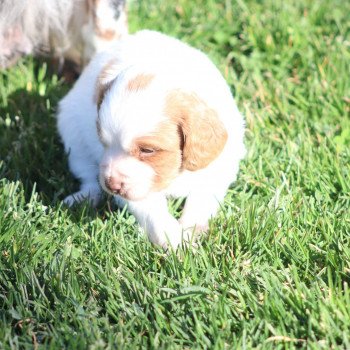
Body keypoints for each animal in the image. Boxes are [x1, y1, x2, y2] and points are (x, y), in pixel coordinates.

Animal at [56, 30, 246, 249]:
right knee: (89, 179)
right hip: (73, 138)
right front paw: (173, 238)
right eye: (103, 142)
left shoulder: (219, 167)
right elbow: (151, 211)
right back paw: (81, 199)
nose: (112, 185)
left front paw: (190, 230)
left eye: (148, 150)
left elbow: (201, 200)